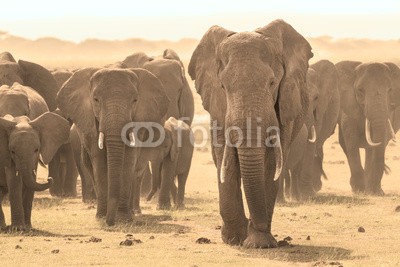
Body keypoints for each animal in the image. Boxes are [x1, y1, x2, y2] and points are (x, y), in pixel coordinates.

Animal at [0, 83, 69, 230]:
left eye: (36, 150)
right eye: (12, 151)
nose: (49, 178)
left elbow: (27, 179)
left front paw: (25, 228)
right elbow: (14, 180)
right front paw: (18, 229)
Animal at [56, 66, 169, 226]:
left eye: (135, 100)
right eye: (96, 100)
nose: (110, 222)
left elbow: (129, 159)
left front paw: (123, 219)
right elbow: (99, 162)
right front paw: (102, 217)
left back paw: (132, 212)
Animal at [189, 19, 314, 249]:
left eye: (272, 83)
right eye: (223, 86)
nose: (254, 224)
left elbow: (271, 162)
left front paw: (259, 243)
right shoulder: (218, 108)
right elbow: (225, 159)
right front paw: (234, 239)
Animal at [338, 61, 400, 195]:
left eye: (390, 90)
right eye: (360, 90)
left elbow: (382, 138)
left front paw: (375, 192)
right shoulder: (349, 105)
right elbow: (350, 137)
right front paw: (359, 190)